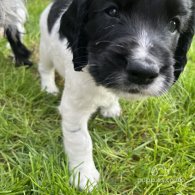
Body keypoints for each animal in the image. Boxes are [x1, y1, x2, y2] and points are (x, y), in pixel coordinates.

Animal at [38, 0, 194, 192]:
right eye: (112, 12)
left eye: (174, 24)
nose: (143, 72)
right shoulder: (73, 107)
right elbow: (80, 140)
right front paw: (84, 175)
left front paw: (110, 107)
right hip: (46, 49)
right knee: (45, 68)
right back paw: (48, 87)